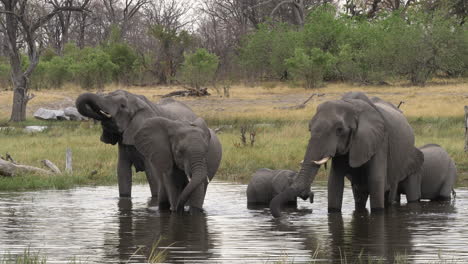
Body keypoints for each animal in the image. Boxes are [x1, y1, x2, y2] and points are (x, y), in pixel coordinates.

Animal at [268, 92, 422, 218]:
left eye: (339, 130)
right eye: (309, 129)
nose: (283, 215)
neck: (351, 106)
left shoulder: (379, 141)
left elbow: (376, 181)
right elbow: (334, 182)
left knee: (389, 192)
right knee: (359, 194)